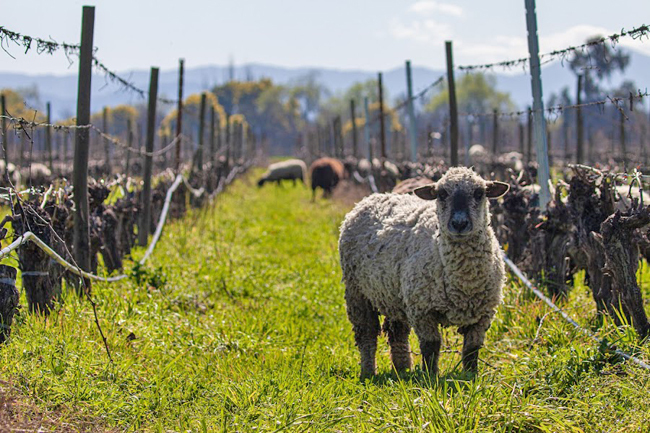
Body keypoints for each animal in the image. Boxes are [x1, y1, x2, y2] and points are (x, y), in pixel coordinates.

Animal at [336, 167, 508, 376]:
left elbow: (471, 350)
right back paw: (368, 372)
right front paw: (430, 376)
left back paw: (402, 369)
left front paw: (470, 376)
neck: (464, 282)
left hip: (394, 295)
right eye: (441, 194)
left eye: (479, 193)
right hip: (357, 292)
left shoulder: (483, 315)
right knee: (367, 334)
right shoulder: (422, 310)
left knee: (397, 332)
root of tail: (371, 198)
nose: (459, 224)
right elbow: (431, 346)